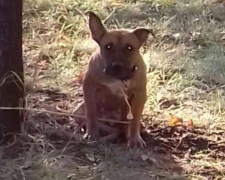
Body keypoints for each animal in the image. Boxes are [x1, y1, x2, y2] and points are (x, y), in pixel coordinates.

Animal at [76, 12, 152, 148]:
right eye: (108, 46)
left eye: (129, 48)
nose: (117, 66)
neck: (118, 79)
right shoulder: (89, 87)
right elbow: (91, 113)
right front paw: (92, 134)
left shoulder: (139, 95)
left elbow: (135, 119)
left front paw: (134, 139)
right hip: (78, 111)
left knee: (125, 125)